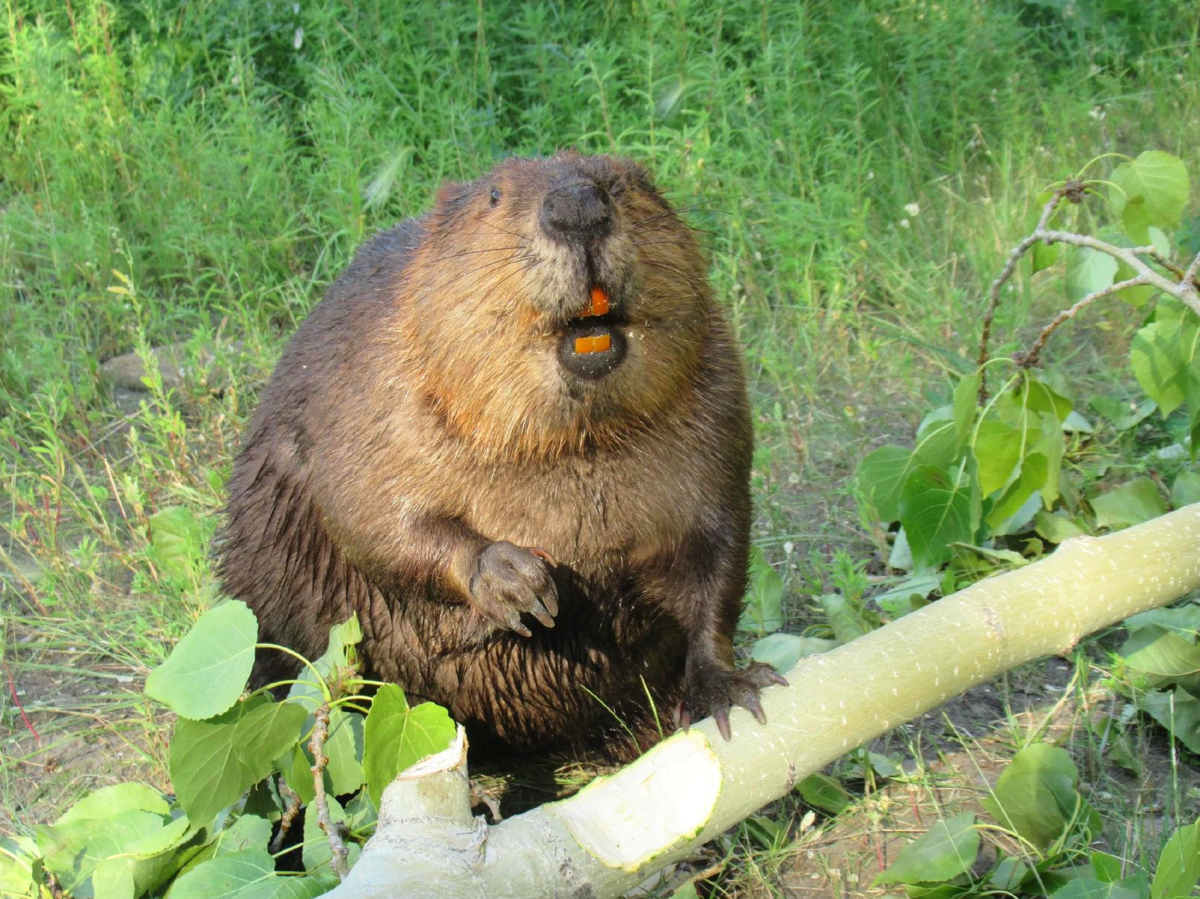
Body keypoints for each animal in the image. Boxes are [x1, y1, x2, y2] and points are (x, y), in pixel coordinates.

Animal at [217, 150, 787, 753]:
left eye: (630, 182)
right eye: (494, 195)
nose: (577, 207)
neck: (574, 444)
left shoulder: (719, 406)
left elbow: (718, 555)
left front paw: (729, 692)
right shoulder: (372, 384)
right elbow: (366, 513)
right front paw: (519, 583)